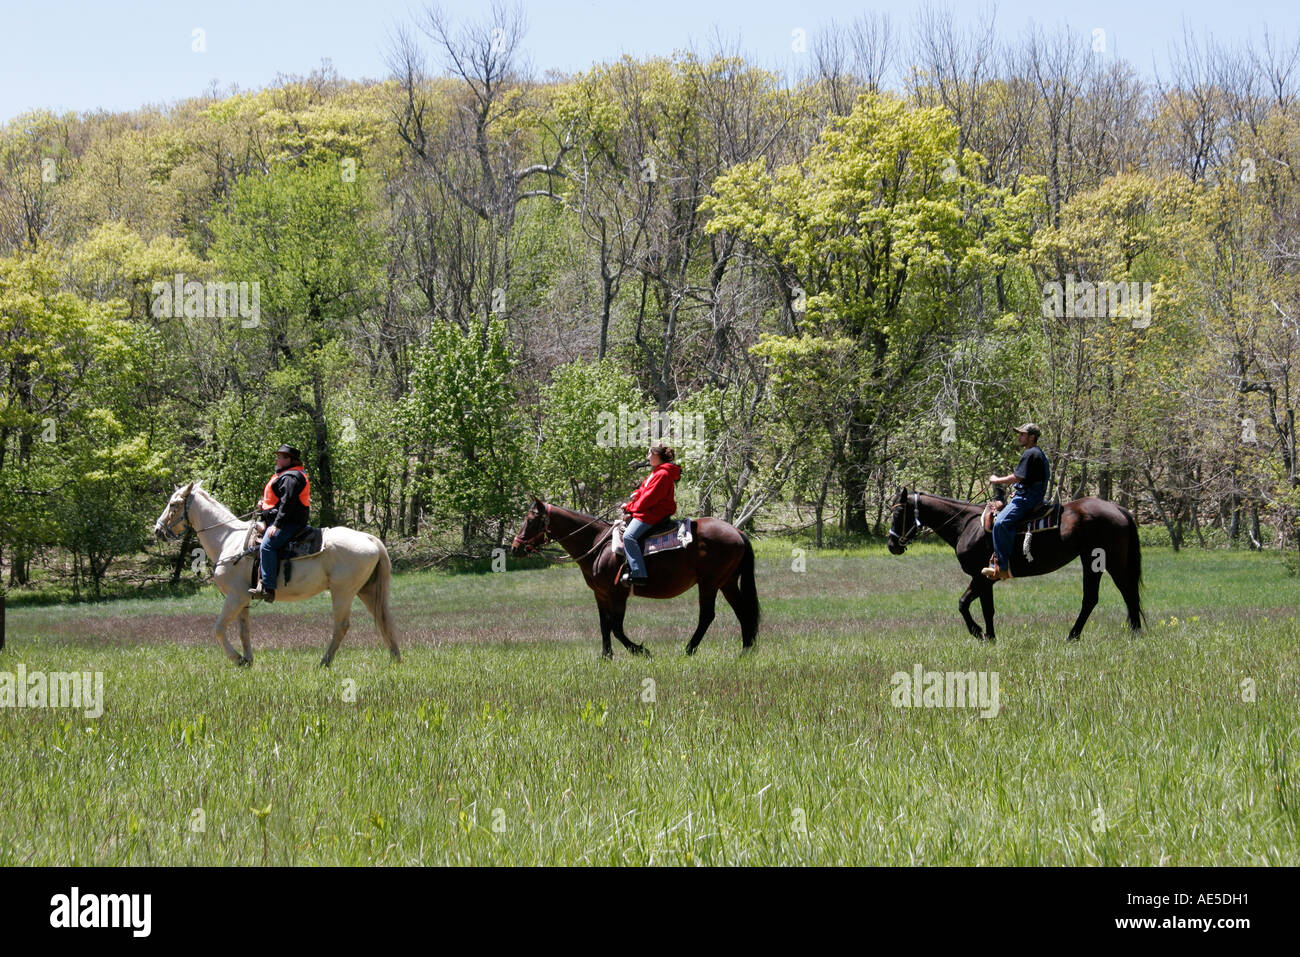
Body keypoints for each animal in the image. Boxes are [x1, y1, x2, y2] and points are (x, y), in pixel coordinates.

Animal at [152, 478, 397, 665]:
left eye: (173, 504)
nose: (157, 530)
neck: (227, 540)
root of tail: (370, 538)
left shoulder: (234, 596)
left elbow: (219, 629)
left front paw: (237, 659)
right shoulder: (243, 598)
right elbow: (243, 630)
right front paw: (248, 660)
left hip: (343, 592)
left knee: (342, 626)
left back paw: (324, 662)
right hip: (366, 590)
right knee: (383, 617)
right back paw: (395, 658)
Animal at [504, 494, 759, 657]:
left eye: (530, 520)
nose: (515, 548)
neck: (598, 544)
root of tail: (737, 531)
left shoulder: (618, 593)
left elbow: (616, 627)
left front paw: (641, 650)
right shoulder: (601, 594)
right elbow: (604, 625)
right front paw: (606, 656)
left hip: (709, 583)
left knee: (707, 615)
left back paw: (689, 650)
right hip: (726, 582)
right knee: (742, 611)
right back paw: (745, 651)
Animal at [883, 486, 1149, 642]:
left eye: (897, 513)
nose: (892, 544)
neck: (966, 525)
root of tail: (1117, 508)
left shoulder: (979, 577)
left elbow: (963, 604)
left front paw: (979, 633)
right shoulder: (986, 578)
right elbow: (987, 608)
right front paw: (990, 637)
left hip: (1108, 560)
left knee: (1124, 592)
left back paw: (1128, 633)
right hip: (1092, 561)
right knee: (1097, 598)